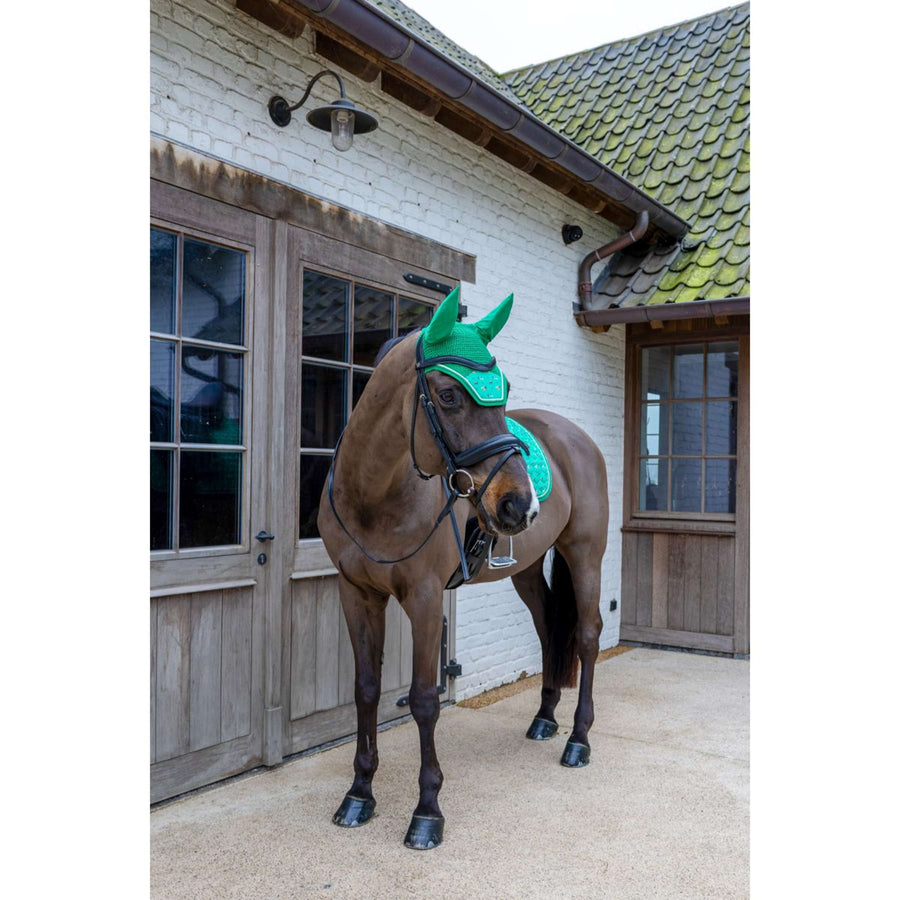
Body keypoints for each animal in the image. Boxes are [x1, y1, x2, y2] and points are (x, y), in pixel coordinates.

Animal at [317, 286, 609, 850]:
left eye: (506, 389)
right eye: (449, 395)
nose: (520, 504)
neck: (374, 496)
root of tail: (576, 436)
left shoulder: (426, 599)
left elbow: (423, 700)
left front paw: (427, 812)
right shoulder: (356, 593)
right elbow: (366, 690)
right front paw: (359, 793)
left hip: (585, 554)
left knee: (586, 636)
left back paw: (579, 740)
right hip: (526, 569)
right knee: (548, 629)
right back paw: (544, 719)